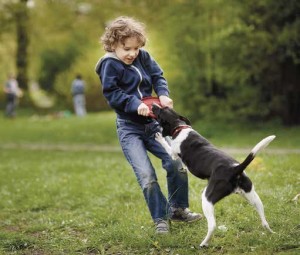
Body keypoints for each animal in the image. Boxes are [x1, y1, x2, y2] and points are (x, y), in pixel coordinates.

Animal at [151, 103, 276, 247]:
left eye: (161, 110)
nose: (153, 104)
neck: (179, 126)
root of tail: (235, 169)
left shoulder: (173, 153)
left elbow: (167, 145)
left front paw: (159, 137)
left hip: (207, 199)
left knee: (213, 226)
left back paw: (203, 244)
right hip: (254, 198)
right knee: (264, 221)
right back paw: (271, 233)